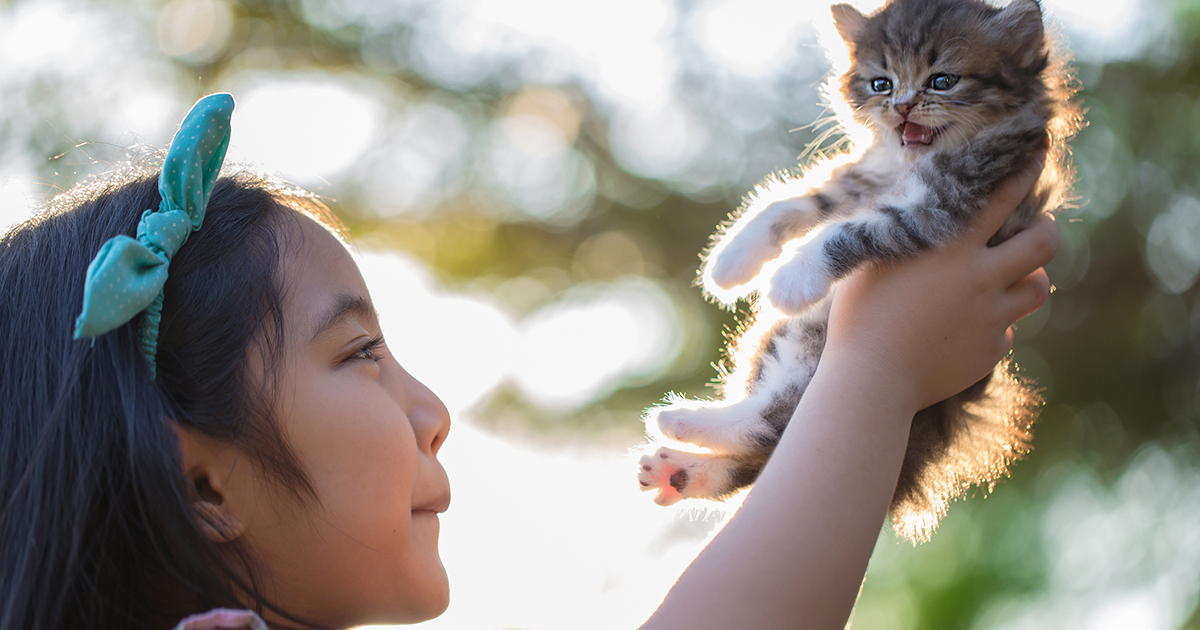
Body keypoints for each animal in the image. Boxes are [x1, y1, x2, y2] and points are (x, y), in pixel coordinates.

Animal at [633, 0, 1084, 540]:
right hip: (777, 339)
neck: (911, 163)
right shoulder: (863, 177)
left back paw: (681, 425)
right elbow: (801, 199)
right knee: (768, 441)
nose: (903, 107)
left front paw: (791, 277)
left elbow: (849, 229)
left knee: (773, 425)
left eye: (942, 80)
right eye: (881, 84)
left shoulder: (942, 204)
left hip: (804, 338)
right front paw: (731, 259)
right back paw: (682, 466)